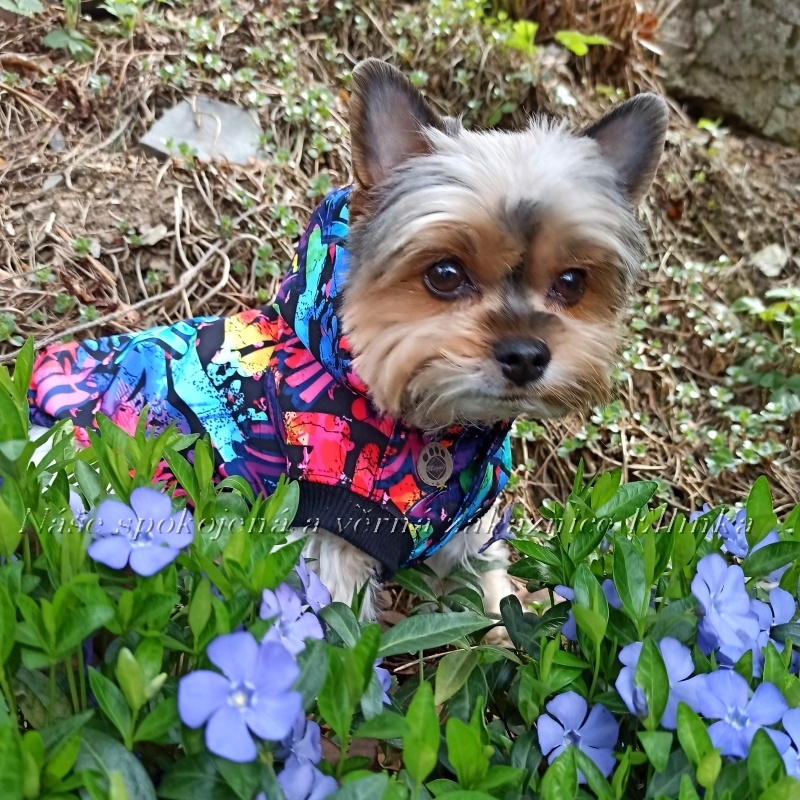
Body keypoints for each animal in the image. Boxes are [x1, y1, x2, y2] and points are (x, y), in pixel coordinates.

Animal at [27, 59, 668, 622]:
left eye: (572, 282)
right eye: (445, 274)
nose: (527, 354)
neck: (435, 430)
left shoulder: (468, 529)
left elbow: (492, 600)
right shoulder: (324, 539)